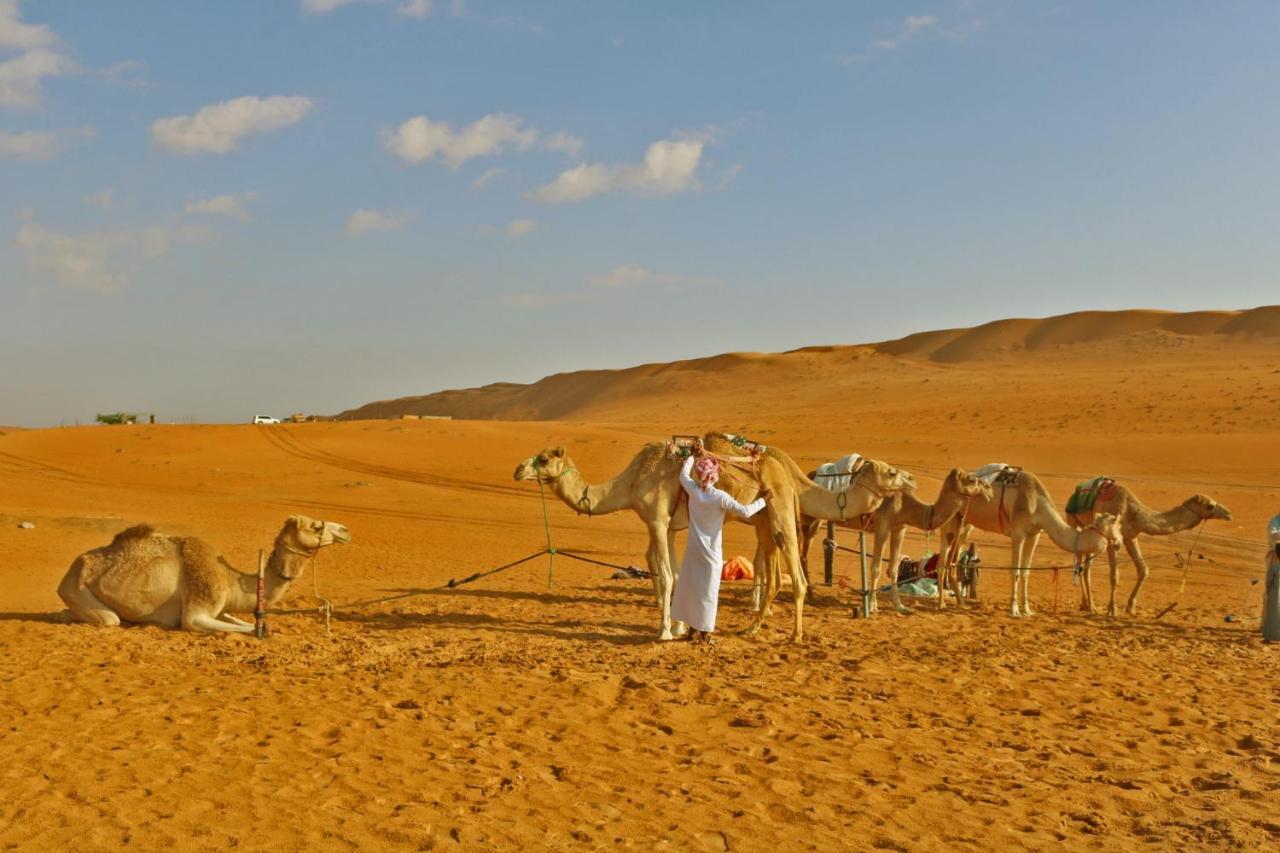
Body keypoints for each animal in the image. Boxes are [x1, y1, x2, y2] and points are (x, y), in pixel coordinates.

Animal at [57, 512, 350, 630]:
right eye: (315, 526)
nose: (345, 530)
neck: (230, 579)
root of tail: (73, 566)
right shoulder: (197, 611)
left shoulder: (221, 608)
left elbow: (247, 623)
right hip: (75, 587)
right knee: (110, 619)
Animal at [514, 432, 916, 637]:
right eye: (891, 472)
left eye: (545, 459)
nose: (518, 469)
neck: (629, 483)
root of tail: (785, 468)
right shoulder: (667, 526)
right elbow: (674, 575)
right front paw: (679, 626)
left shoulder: (656, 519)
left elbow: (664, 575)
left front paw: (665, 631)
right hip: (767, 517)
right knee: (777, 572)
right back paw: (753, 627)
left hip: (782, 512)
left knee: (795, 573)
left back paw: (793, 634)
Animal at [793, 466, 993, 612]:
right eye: (971, 479)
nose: (989, 490)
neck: (906, 505)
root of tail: (810, 475)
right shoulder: (882, 526)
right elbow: (875, 569)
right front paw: (872, 606)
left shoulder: (900, 528)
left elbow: (894, 569)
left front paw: (900, 606)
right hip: (808, 518)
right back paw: (807, 594)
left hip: (816, 520)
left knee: (803, 554)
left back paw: (811, 595)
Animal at [936, 461, 1126, 614]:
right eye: (1116, 525)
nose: (1119, 542)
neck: (1037, 504)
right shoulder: (1018, 533)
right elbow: (1015, 571)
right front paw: (1014, 609)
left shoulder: (1034, 534)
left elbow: (1026, 572)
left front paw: (1026, 609)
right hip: (949, 520)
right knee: (942, 560)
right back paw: (941, 604)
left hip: (965, 524)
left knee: (953, 561)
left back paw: (960, 603)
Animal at [1064, 481, 1233, 614]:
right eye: (1210, 506)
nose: (1229, 514)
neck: (1133, 512)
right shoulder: (1112, 540)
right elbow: (1114, 576)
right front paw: (1112, 609)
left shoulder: (1131, 537)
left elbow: (1143, 570)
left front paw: (1130, 607)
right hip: (1075, 523)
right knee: (1082, 566)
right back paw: (1090, 605)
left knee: (1085, 567)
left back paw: (1087, 605)